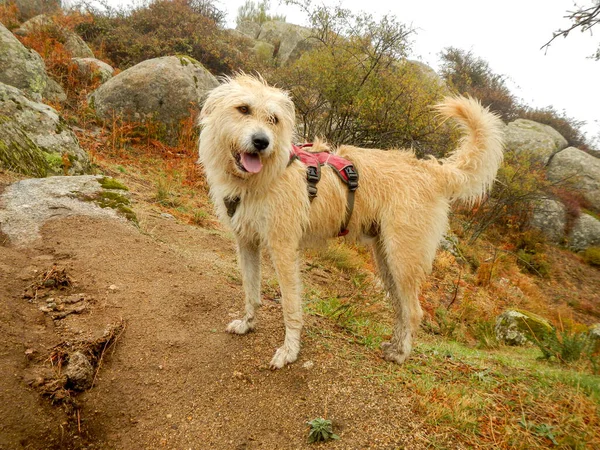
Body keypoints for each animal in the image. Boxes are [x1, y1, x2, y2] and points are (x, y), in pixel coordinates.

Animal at [199, 74, 504, 370]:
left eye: (273, 119)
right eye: (243, 109)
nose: (262, 142)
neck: (261, 178)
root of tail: (431, 171)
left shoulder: (283, 249)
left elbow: (291, 307)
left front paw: (289, 352)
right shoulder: (246, 243)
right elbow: (251, 292)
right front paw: (247, 324)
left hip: (403, 259)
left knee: (414, 311)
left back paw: (401, 354)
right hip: (386, 261)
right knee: (401, 308)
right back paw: (394, 346)